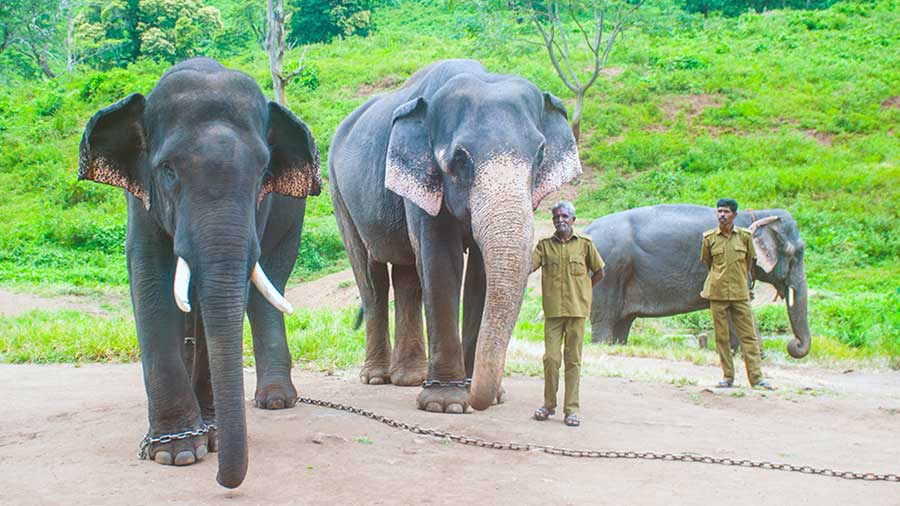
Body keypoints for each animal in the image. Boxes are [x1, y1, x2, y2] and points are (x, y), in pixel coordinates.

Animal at [77, 57, 322, 488]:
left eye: (263, 170)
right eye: (168, 170)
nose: (226, 481)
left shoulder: (259, 209)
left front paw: (209, 437)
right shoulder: (141, 197)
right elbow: (150, 281)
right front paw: (177, 452)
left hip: (292, 218)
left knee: (268, 286)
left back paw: (275, 401)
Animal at [588, 203, 812, 360]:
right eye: (796, 253)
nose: (793, 345)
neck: (757, 214)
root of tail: (587, 231)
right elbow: (739, 304)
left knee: (622, 322)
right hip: (610, 273)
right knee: (604, 321)